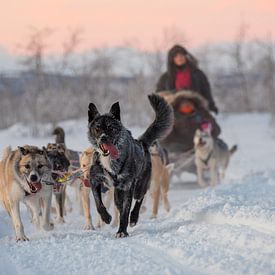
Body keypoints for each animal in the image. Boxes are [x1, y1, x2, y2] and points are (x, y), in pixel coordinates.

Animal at [88, 94, 174, 237]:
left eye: (111, 128)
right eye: (97, 128)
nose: (103, 138)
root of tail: (141, 143)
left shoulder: (128, 186)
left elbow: (125, 211)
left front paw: (122, 231)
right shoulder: (94, 180)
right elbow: (98, 202)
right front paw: (106, 217)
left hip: (140, 186)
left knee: (139, 199)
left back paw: (134, 218)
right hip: (117, 193)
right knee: (118, 204)